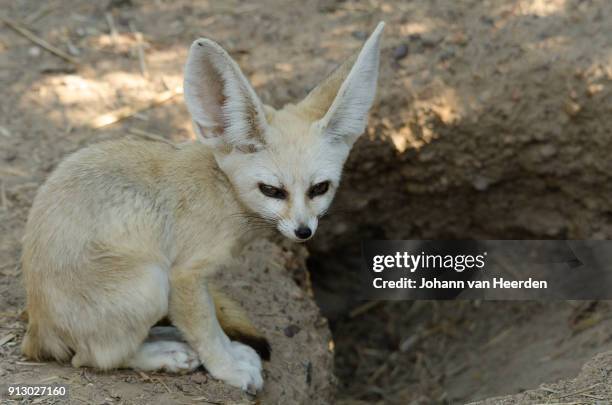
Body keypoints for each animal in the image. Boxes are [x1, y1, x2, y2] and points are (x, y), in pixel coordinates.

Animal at [23, 22, 384, 388]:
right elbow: (206, 330)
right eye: (271, 190)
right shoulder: (184, 275)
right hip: (150, 283)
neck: (222, 190)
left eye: (319, 188)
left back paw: (165, 336)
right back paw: (164, 355)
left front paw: (229, 353)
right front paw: (229, 368)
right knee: (94, 356)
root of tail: (36, 329)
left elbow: (209, 323)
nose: (303, 231)